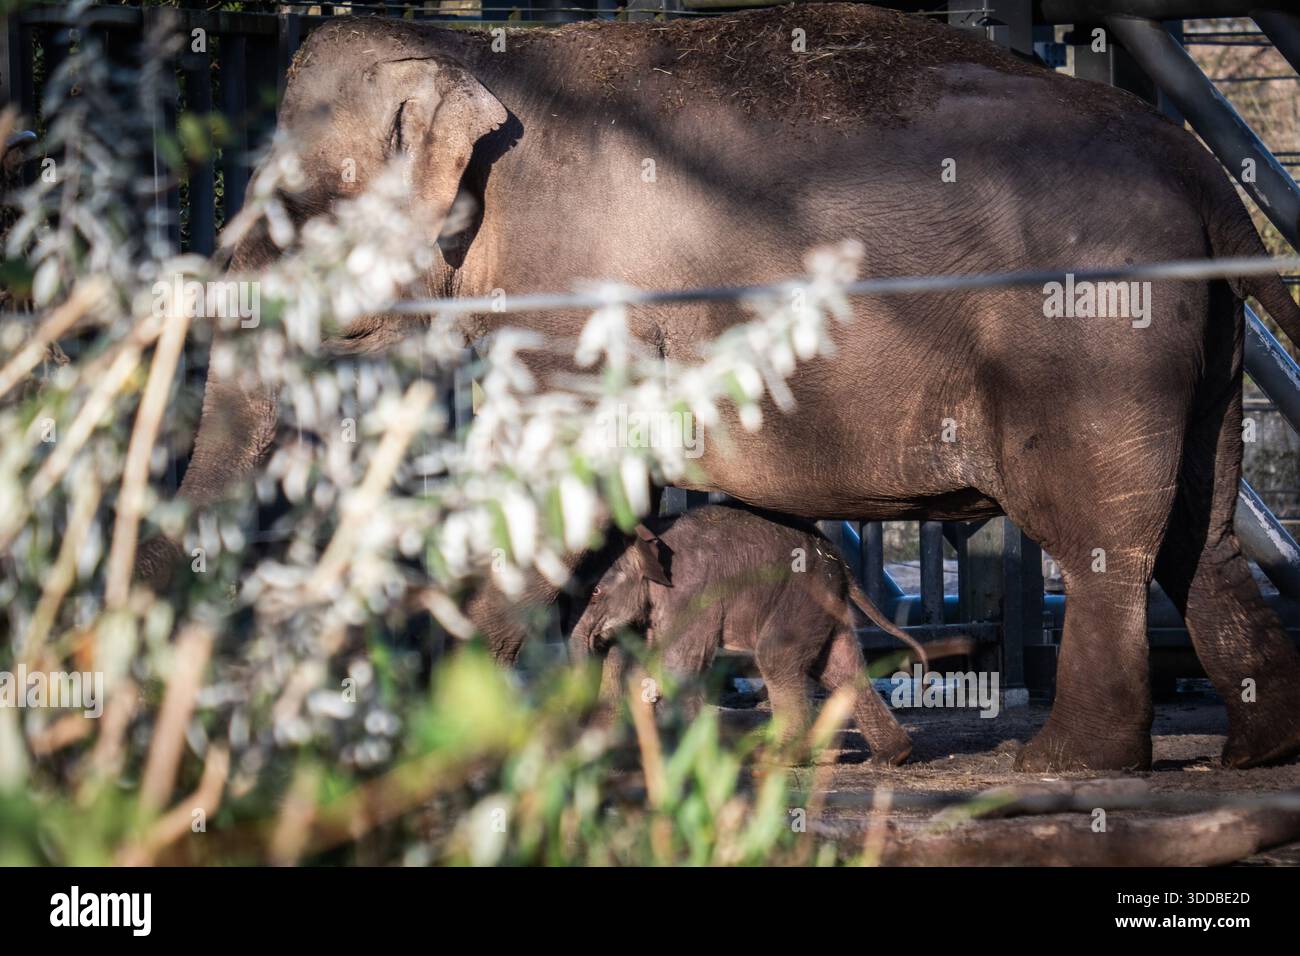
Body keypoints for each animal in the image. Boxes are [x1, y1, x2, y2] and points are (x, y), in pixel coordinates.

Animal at [569, 504, 929, 764]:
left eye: (596, 592)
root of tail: (842, 565)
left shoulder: (692, 594)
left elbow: (680, 665)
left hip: (800, 594)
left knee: (777, 657)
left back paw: (780, 758)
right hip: (824, 603)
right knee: (839, 667)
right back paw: (892, 756)